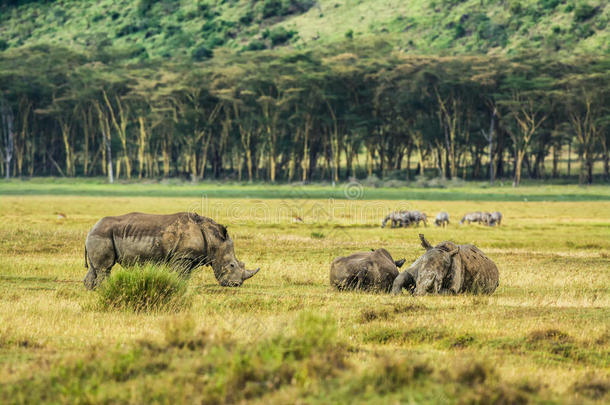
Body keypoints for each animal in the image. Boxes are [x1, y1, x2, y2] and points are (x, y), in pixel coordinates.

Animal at [83, 213, 258, 288]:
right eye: (232, 265)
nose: (236, 285)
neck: (213, 238)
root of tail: (91, 228)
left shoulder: (188, 257)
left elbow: (185, 275)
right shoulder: (183, 256)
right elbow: (181, 275)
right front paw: (179, 288)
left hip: (99, 234)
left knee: (95, 268)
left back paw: (91, 291)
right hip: (102, 234)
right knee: (104, 268)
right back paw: (103, 289)